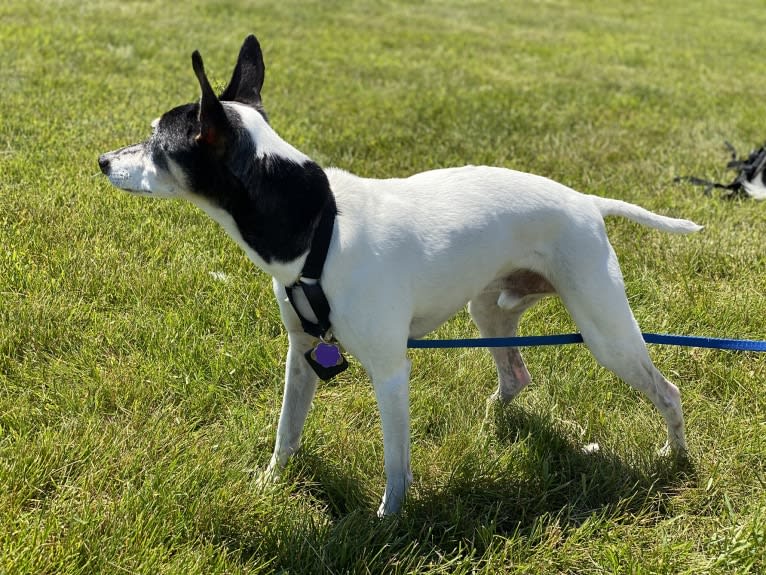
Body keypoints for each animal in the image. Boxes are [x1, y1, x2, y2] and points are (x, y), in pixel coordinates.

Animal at [99, 33, 704, 516]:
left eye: (157, 143)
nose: (103, 160)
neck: (319, 226)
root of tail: (587, 202)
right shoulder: (302, 352)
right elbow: (286, 432)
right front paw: (270, 483)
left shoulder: (390, 371)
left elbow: (396, 463)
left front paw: (388, 519)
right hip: (488, 311)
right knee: (516, 376)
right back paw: (491, 419)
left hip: (607, 333)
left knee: (668, 392)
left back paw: (674, 455)